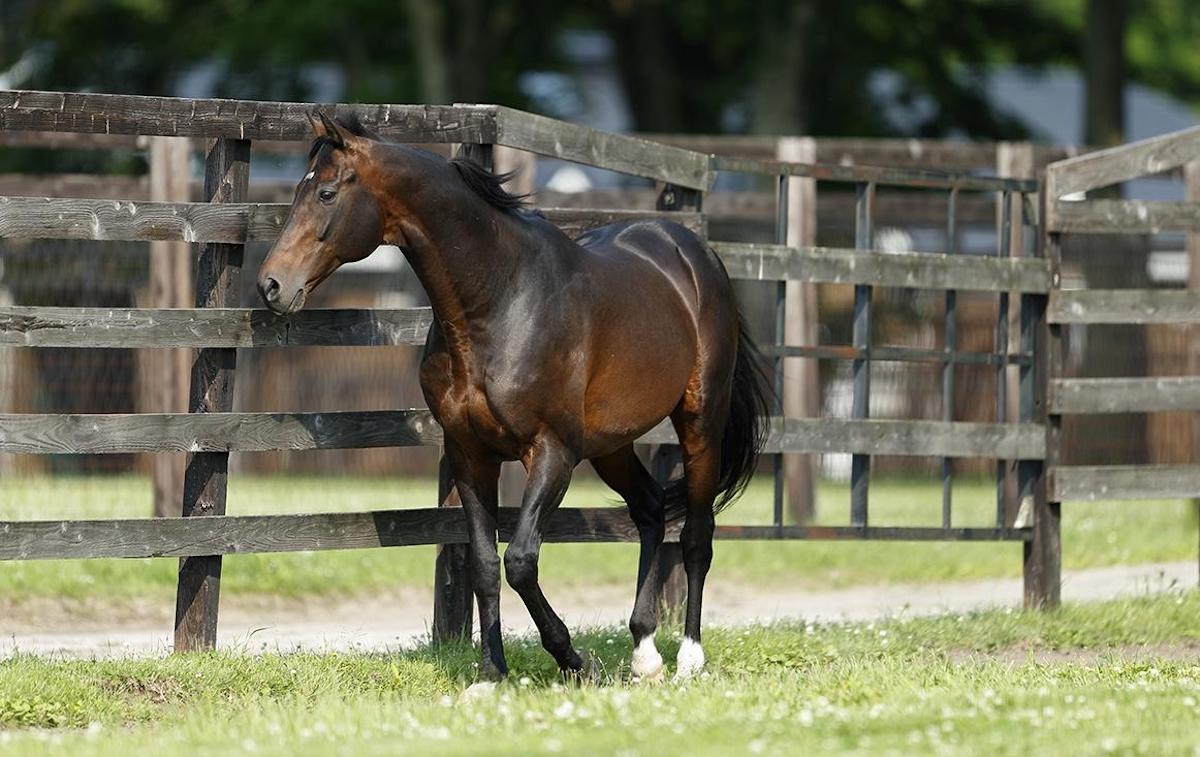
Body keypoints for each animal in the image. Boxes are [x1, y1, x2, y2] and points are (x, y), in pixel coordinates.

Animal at [258, 113, 772, 686]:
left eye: (325, 192)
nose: (272, 285)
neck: (501, 303)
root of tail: (692, 251)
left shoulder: (552, 453)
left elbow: (521, 560)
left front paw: (573, 660)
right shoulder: (470, 455)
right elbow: (484, 566)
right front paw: (490, 676)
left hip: (699, 422)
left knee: (697, 536)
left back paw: (687, 659)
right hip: (612, 445)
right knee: (651, 510)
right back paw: (644, 653)